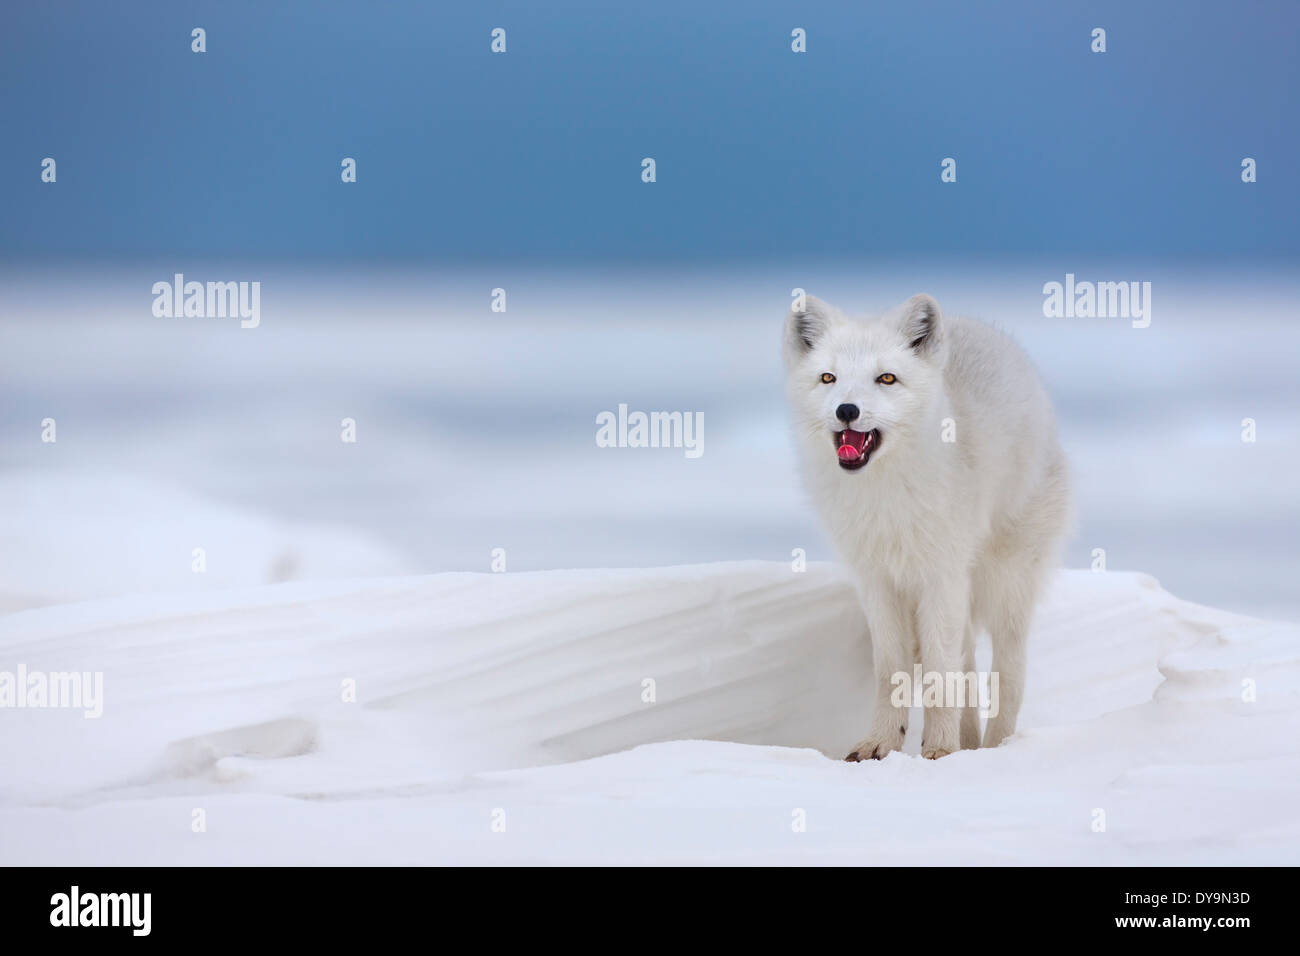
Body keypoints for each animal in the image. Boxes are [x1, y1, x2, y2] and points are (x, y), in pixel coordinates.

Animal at [784, 293, 1070, 760]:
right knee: (967, 667)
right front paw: (882, 742)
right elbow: (892, 669)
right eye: (828, 378)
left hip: (1005, 581)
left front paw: (938, 749)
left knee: (1008, 673)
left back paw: (996, 747)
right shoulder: (876, 580)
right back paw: (968, 742)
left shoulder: (941, 575)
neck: (885, 500)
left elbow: (939, 672)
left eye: (886, 378)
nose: (847, 410)